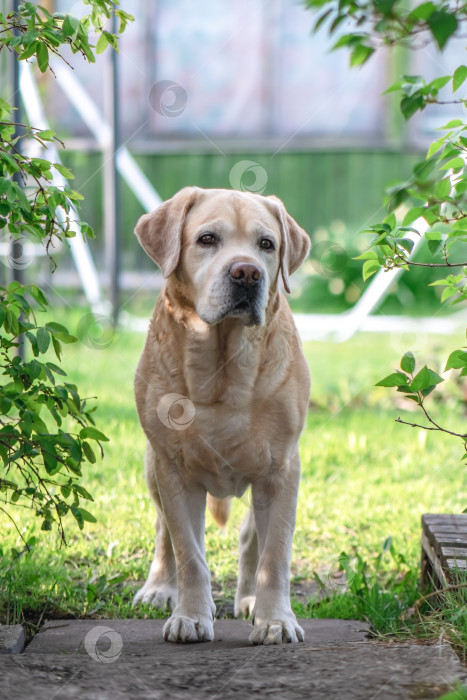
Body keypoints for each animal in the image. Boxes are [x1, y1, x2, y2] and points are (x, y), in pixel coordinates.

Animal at [133, 186, 310, 644]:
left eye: (267, 244)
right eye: (207, 239)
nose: (247, 273)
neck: (222, 367)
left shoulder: (282, 470)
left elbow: (274, 555)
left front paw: (275, 620)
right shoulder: (174, 469)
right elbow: (189, 553)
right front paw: (191, 616)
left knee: (251, 538)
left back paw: (248, 600)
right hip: (151, 466)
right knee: (163, 532)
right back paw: (160, 588)